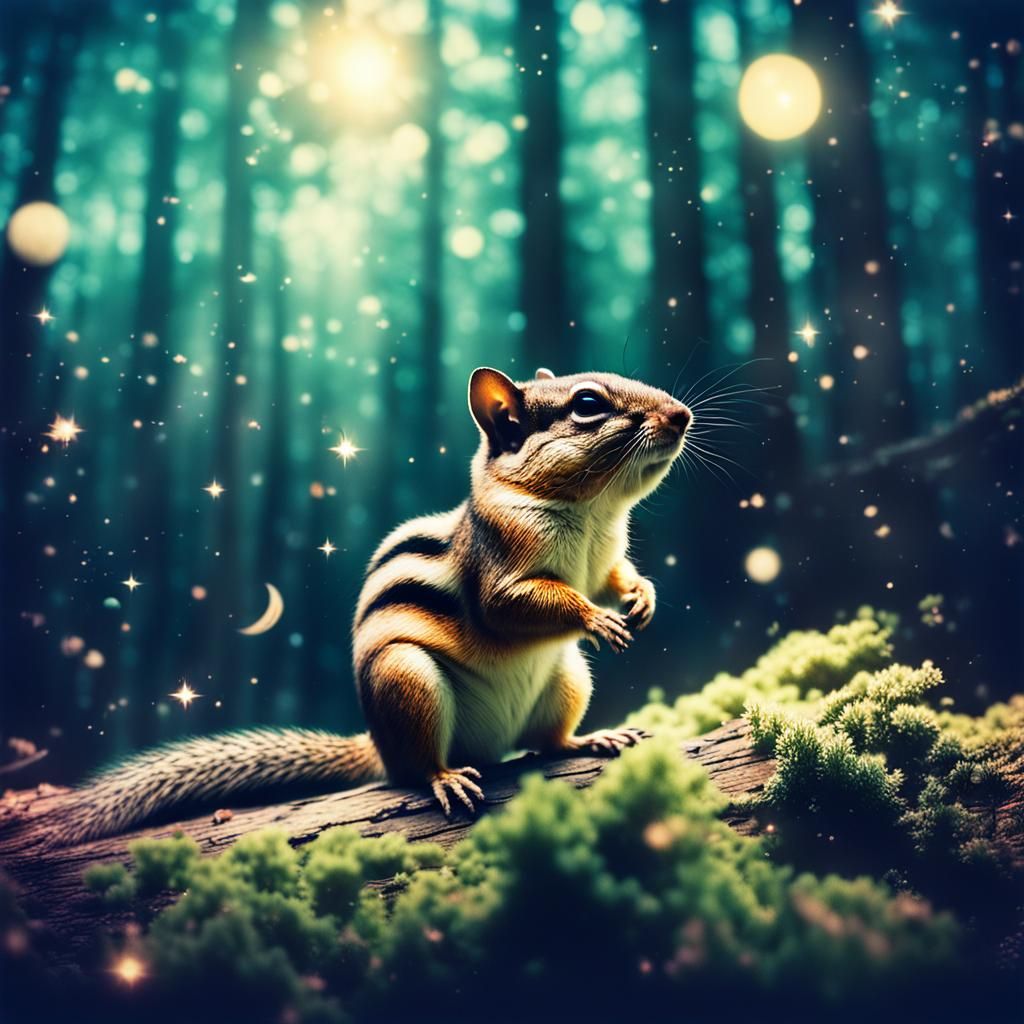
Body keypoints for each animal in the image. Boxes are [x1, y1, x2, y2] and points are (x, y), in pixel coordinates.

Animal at [54, 367, 692, 843]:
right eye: (587, 403)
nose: (681, 414)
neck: (592, 512)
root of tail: (379, 747)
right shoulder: (497, 568)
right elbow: (512, 604)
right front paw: (596, 618)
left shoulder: (604, 558)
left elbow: (613, 577)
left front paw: (641, 598)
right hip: (407, 680)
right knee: (418, 765)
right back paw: (444, 778)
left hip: (567, 677)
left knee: (549, 742)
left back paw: (591, 739)